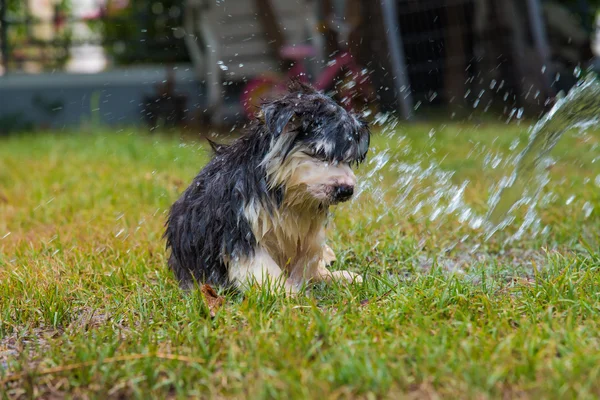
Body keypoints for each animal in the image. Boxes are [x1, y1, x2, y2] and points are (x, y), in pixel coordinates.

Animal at [165, 82, 370, 294]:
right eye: (320, 153)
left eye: (349, 159)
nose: (346, 190)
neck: (286, 196)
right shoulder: (240, 229)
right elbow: (263, 268)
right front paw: (287, 292)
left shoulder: (308, 235)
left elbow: (308, 260)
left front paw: (330, 277)